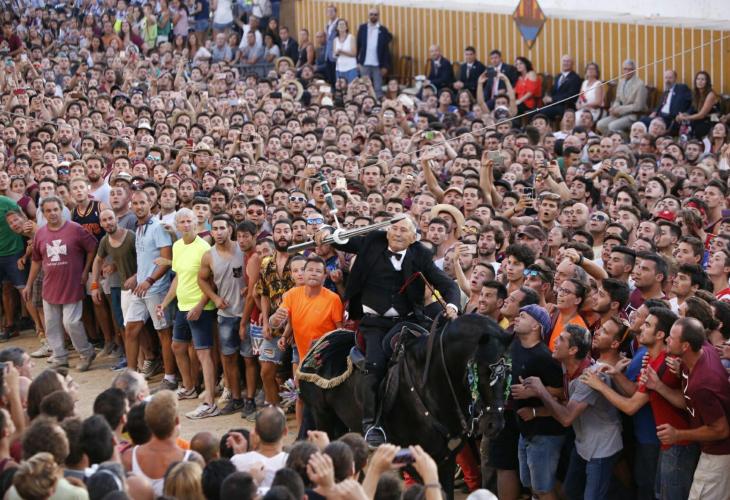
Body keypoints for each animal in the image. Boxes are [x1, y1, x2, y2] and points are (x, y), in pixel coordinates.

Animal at [298, 312, 510, 496]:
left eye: (508, 371)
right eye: (482, 370)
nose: (494, 424)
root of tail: (318, 345)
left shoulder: (446, 459)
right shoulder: (415, 459)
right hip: (322, 414)